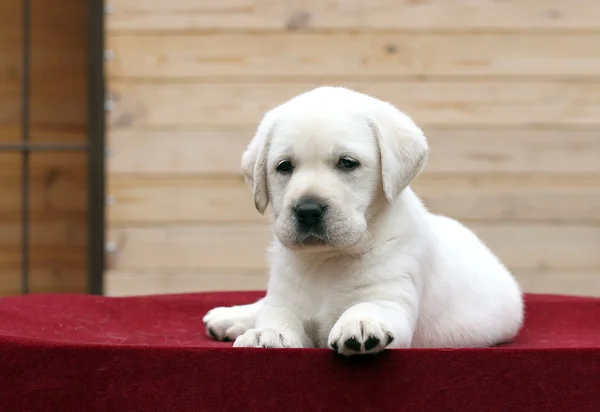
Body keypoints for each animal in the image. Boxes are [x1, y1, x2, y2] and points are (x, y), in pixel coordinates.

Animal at [202, 86, 520, 354]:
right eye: (284, 167)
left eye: (347, 163)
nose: (307, 210)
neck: (327, 260)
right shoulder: (286, 300)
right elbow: (276, 314)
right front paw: (265, 333)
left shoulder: (392, 296)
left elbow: (370, 306)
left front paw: (360, 322)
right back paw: (229, 317)